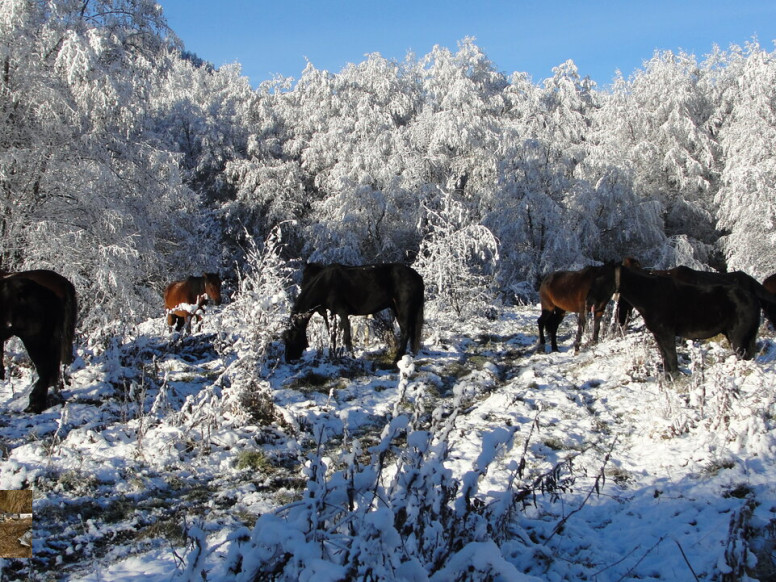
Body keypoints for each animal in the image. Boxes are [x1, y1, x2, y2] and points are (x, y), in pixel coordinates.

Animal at [284, 264, 424, 362]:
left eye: (291, 338)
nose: (288, 359)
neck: (325, 284)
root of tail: (417, 276)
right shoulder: (332, 314)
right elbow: (332, 335)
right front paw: (333, 355)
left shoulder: (342, 312)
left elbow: (346, 337)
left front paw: (351, 356)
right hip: (398, 309)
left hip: (403, 308)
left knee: (406, 332)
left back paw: (397, 359)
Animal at [596, 264, 760, 376]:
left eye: (602, 279)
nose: (595, 307)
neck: (650, 294)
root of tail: (752, 297)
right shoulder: (659, 335)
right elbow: (665, 359)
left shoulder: (667, 334)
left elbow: (672, 358)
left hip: (738, 337)